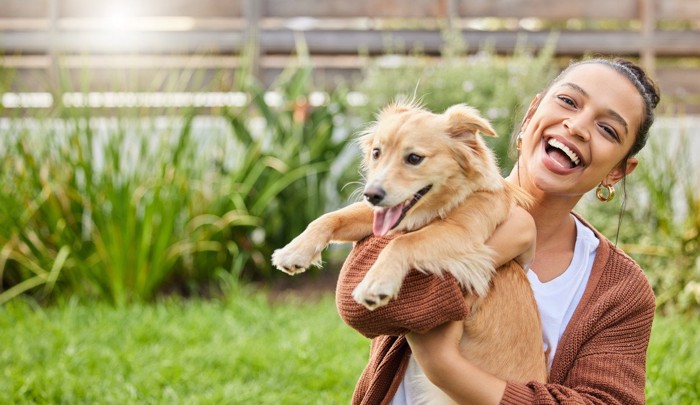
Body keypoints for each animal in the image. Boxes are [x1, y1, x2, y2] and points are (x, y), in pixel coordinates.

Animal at [270, 100, 548, 398]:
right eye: (377, 152)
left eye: (414, 158)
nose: (371, 194)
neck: (443, 204)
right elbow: (331, 216)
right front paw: (294, 251)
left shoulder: (463, 232)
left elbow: (402, 242)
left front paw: (376, 283)